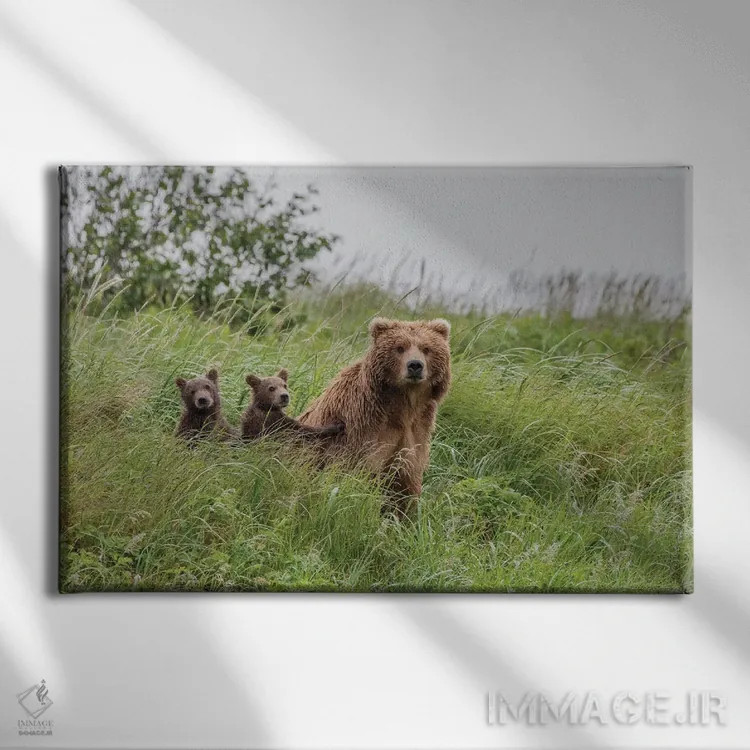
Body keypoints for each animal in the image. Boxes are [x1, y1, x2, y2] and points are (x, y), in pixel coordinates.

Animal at [298, 317, 451, 514]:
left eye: (426, 348)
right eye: (400, 347)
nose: (415, 365)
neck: (403, 405)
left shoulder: (417, 430)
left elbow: (405, 486)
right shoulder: (361, 427)